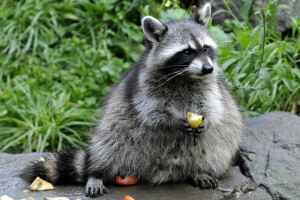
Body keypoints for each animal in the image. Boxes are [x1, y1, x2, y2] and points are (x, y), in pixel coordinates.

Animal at [22, 3, 244, 198]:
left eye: (206, 48)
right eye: (187, 51)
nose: (208, 68)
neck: (186, 76)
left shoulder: (210, 86)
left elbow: (214, 106)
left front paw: (206, 119)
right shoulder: (144, 85)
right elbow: (151, 112)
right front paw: (172, 121)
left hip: (215, 145)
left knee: (218, 146)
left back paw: (200, 170)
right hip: (119, 132)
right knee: (109, 143)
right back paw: (97, 173)